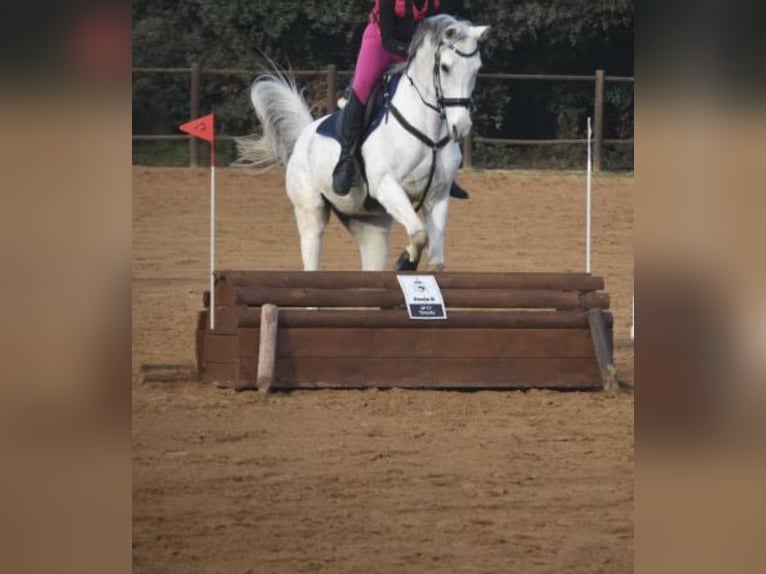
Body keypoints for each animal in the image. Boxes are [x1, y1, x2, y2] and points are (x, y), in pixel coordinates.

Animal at [237, 15, 488, 272]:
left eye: (477, 68)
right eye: (445, 67)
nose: (461, 127)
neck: (431, 133)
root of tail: (303, 137)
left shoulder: (437, 195)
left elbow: (436, 259)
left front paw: (409, 261)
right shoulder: (386, 185)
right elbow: (419, 234)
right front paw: (405, 261)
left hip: (370, 225)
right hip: (310, 212)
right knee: (312, 249)